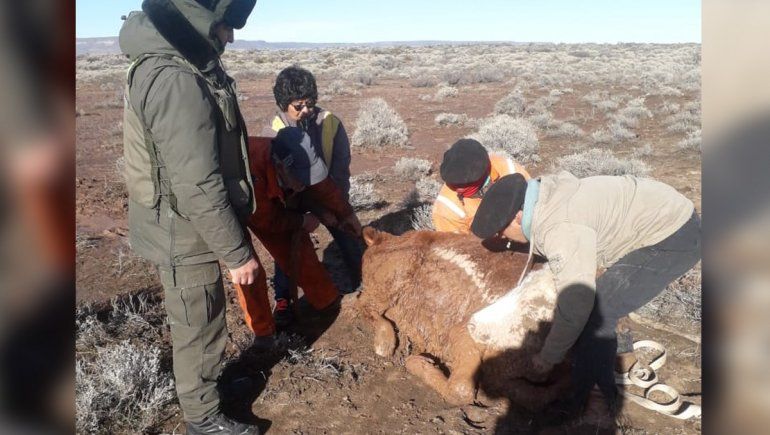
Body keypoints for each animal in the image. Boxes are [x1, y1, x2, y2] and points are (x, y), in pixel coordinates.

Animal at [358, 227, 567, 408]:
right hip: (388, 283)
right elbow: (462, 390)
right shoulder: (465, 333)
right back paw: (386, 345)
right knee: (363, 304)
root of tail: (380, 239)